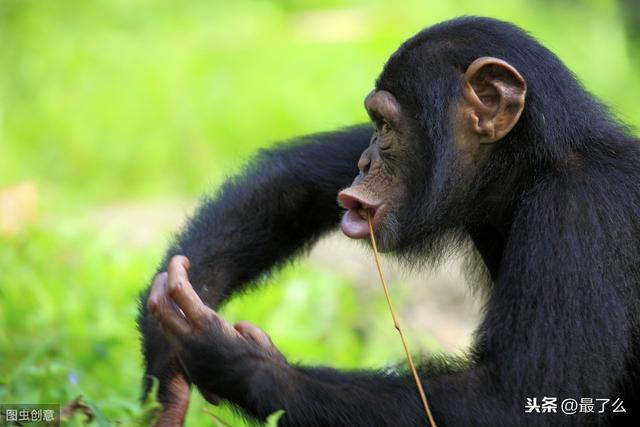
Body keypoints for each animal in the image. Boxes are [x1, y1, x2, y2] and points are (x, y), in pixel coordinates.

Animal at [139, 16, 640, 427]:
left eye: (385, 125)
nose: (364, 162)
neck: (531, 166)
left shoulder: (582, 210)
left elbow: (516, 399)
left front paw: (233, 359)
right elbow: (301, 178)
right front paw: (167, 349)